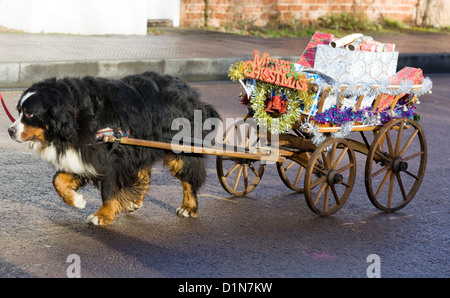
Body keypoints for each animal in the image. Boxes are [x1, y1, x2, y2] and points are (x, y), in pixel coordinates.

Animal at [6, 72, 219, 225]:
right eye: (19, 111)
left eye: (29, 114)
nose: (10, 131)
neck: (76, 116)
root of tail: (192, 94)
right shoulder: (86, 153)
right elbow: (58, 180)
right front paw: (77, 200)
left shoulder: (112, 157)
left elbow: (109, 189)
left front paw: (102, 215)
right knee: (143, 172)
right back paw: (134, 201)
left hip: (180, 147)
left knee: (189, 177)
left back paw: (188, 207)